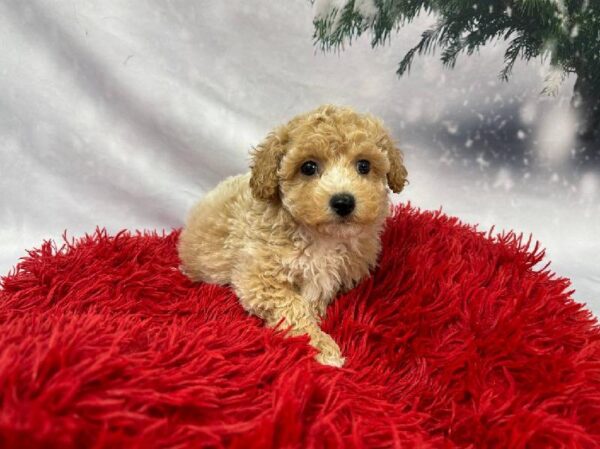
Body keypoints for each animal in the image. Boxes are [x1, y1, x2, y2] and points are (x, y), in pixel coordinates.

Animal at [178, 106, 408, 368]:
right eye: (308, 167)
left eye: (364, 165)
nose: (343, 202)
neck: (322, 236)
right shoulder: (259, 277)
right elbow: (294, 308)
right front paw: (322, 344)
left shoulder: (330, 279)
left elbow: (312, 302)